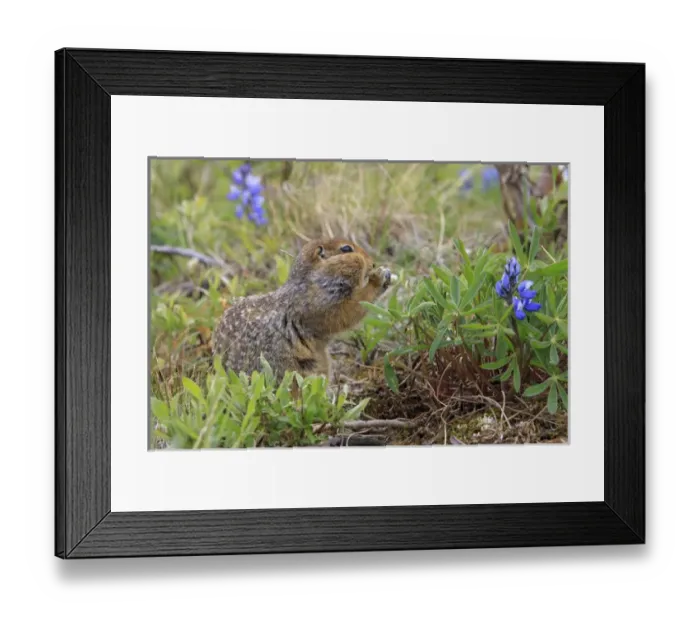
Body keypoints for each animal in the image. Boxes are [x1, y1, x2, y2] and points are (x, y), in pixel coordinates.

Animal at [212, 237, 395, 382]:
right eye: (346, 249)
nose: (373, 263)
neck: (313, 280)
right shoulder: (318, 303)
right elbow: (347, 311)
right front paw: (379, 278)